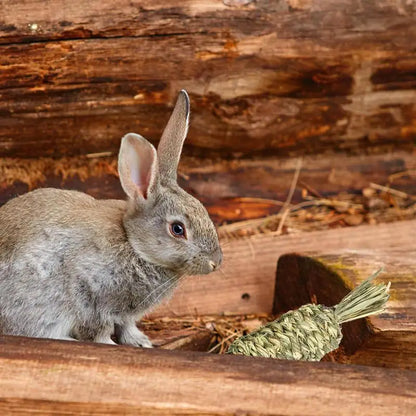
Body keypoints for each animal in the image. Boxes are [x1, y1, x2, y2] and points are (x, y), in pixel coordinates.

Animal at [0, 91, 223, 348]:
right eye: (177, 229)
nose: (216, 262)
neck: (134, 245)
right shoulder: (89, 294)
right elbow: (99, 329)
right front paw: (110, 344)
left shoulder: (125, 315)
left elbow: (127, 325)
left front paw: (141, 342)